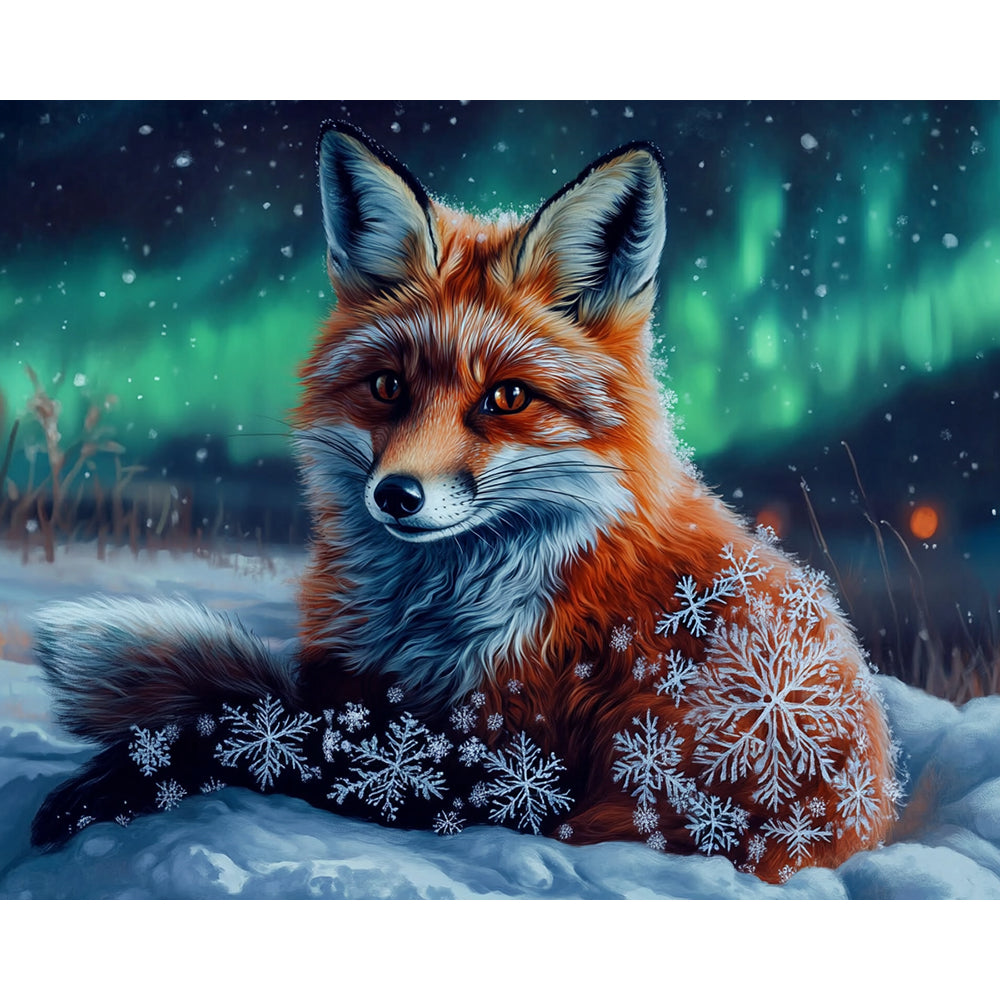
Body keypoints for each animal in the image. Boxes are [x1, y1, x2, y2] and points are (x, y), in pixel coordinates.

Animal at [30, 120, 898, 884]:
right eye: (388, 387)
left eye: (507, 397)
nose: (396, 495)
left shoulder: (521, 765)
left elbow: (252, 728)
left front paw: (116, 776)